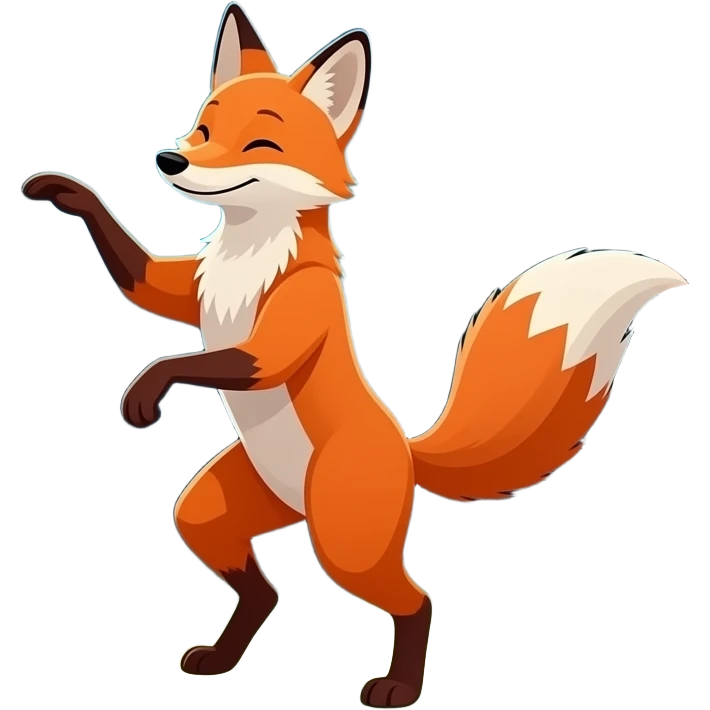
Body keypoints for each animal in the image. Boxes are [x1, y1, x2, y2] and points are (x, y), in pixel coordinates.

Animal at [22, 3, 688, 707]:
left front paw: (148, 388)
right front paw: (64, 190)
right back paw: (222, 659)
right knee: (265, 590)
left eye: (260, 145)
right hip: (212, 512)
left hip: (345, 544)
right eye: (204, 128)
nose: (170, 159)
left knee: (417, 601)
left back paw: (397, 688)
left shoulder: (292, 321)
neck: (248, 256)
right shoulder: (186, 286)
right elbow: (138, 276)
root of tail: (407, 449)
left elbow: (218, 359)